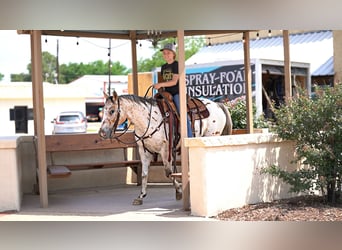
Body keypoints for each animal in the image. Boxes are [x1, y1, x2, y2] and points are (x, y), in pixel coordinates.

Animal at [99, 91, 232, 204]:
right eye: (103, 110)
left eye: (112, 111)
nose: (102, 133)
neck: (148, 119)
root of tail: (218, 104)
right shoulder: (144, 151)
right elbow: (144, 174)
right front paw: (141, 196)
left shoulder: (165, 150)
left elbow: (169, 172)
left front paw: (179, 192)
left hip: (210, 137)